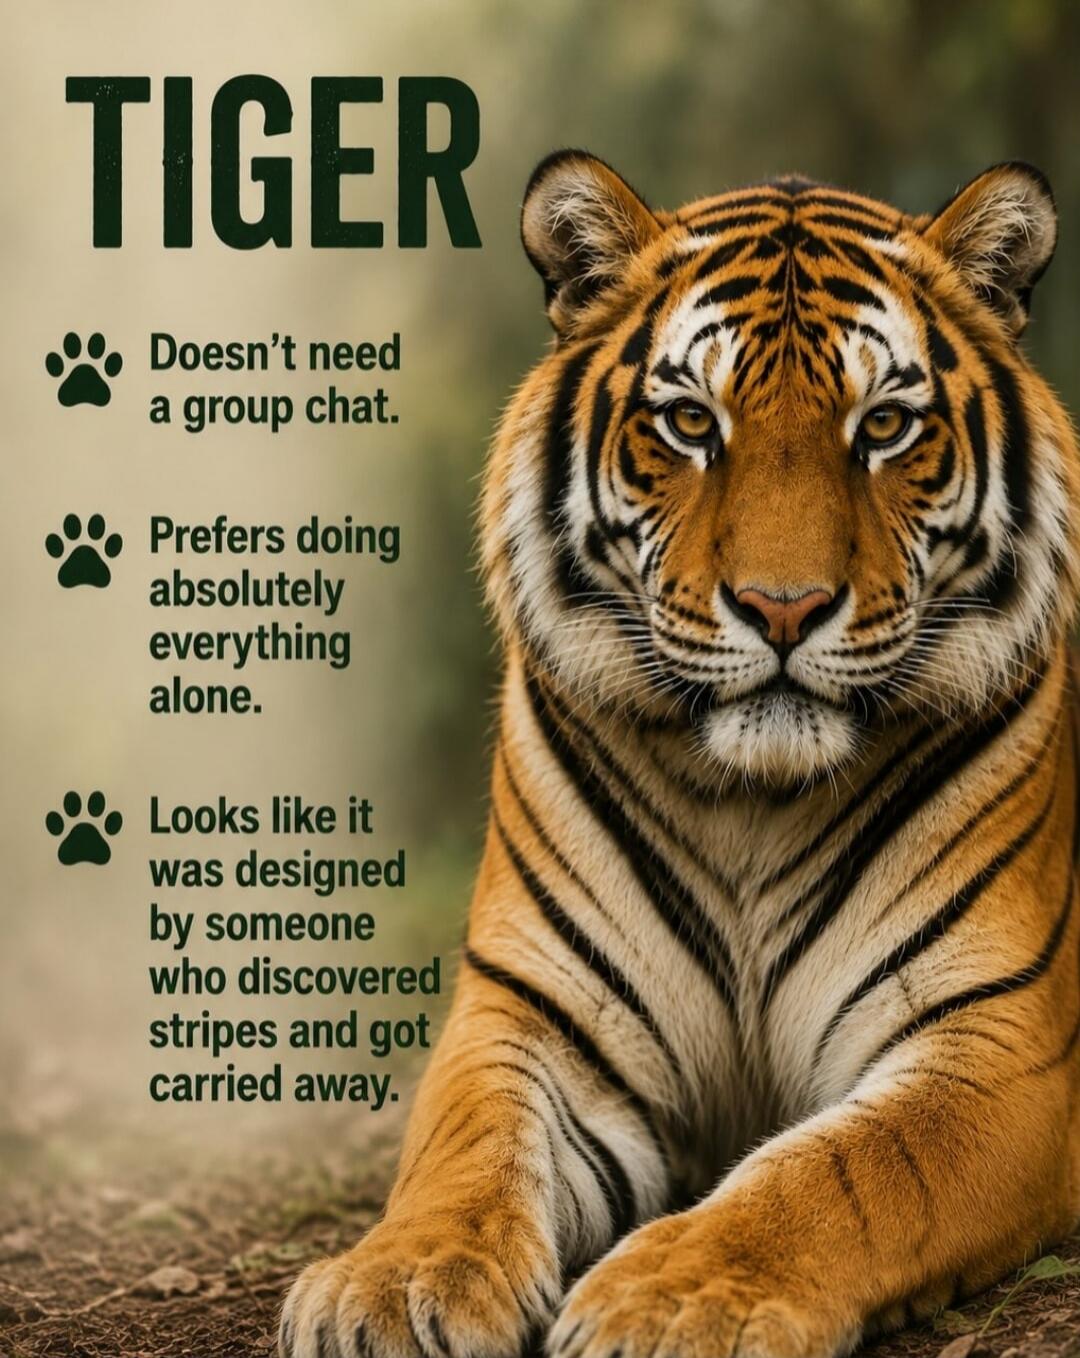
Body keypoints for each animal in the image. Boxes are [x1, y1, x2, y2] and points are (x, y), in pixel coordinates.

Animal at [280, 152, 1080, 1358]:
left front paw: (678, 1298)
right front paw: (392, 1285)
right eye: (692, 421)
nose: (783, 607)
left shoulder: (996, 1042)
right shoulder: (531, 1010)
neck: (752, 799)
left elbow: (845, 1169)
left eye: (886, 425)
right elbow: (466, 1145)